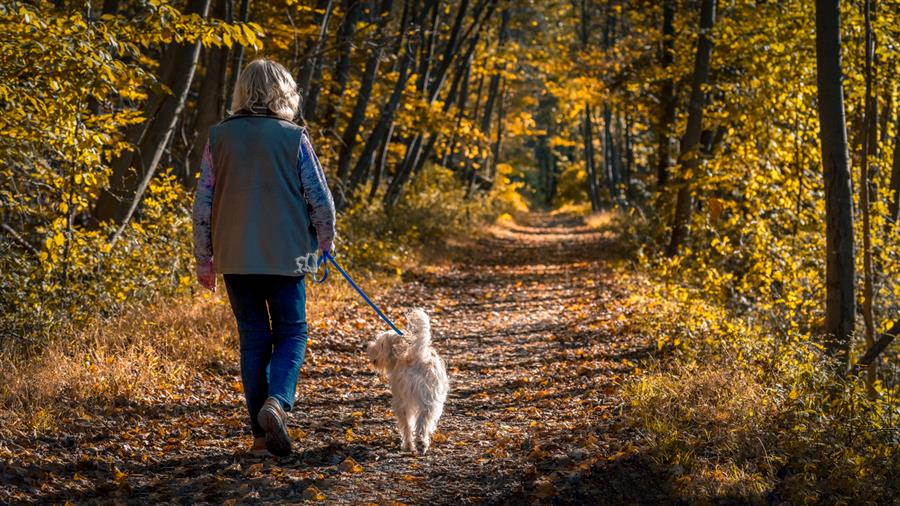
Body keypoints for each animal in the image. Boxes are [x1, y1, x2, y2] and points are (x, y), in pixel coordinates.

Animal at [366, 308, 450, 454]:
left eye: (380, 344)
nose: (369, 347)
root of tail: (418, 356)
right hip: (430, 402)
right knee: (423, 424)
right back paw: (421, 444)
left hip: (403, 402)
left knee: (407, 426)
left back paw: (408, 445)